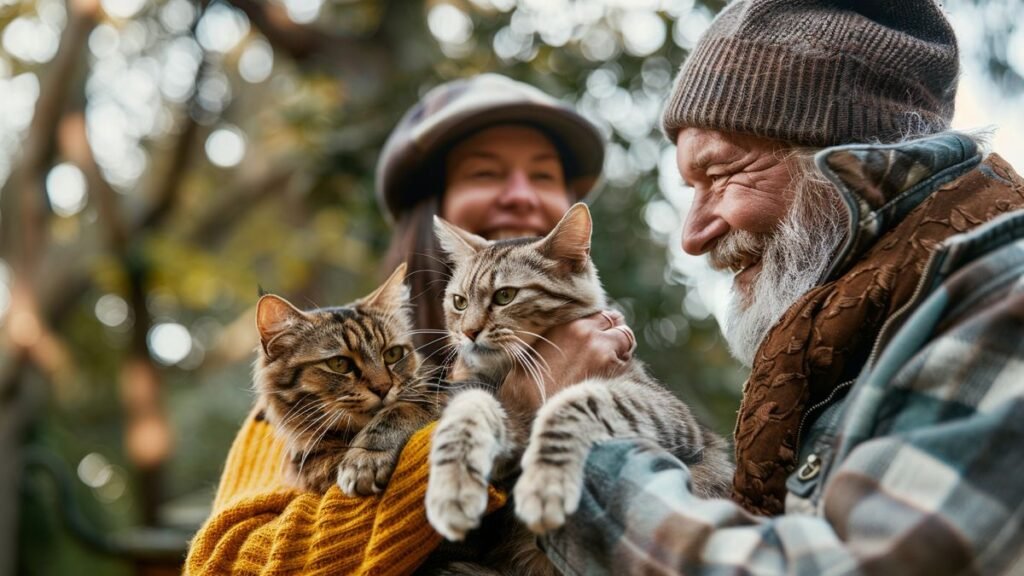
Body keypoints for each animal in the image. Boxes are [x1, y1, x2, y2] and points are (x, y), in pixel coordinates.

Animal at [425, 201, 737, 569]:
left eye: (505, 296)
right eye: (459, 302)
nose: (468, 332)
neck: (505, 371)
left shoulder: (666, 410)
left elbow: (573, 404)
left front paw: (545, 484)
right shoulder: (478, 391)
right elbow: (467, 410)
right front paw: (452, 483)